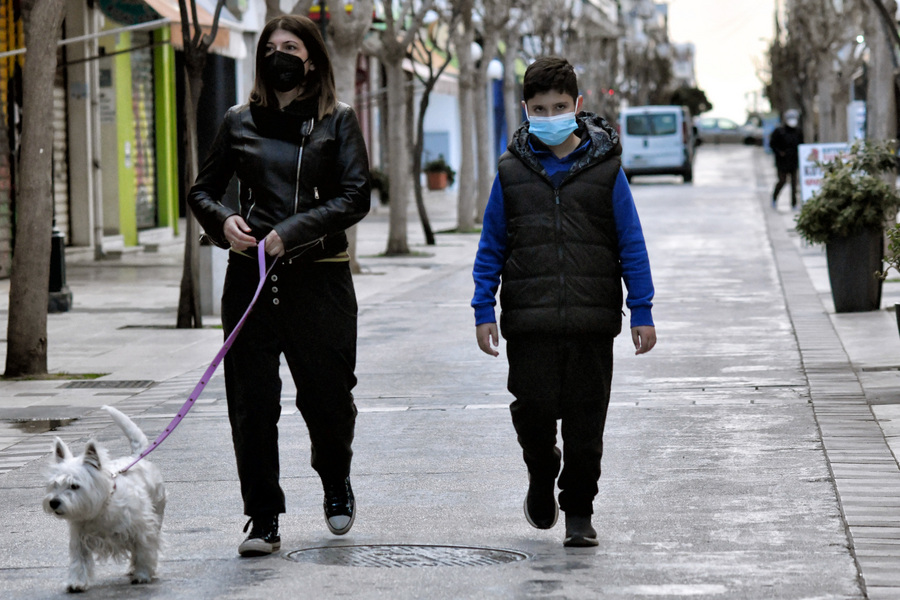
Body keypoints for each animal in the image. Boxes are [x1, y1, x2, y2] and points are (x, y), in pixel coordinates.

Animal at [42, 406, 166, 592]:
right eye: (55, 484)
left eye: (74, 486)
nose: (53, 502)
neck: (100, 510)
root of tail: (135, 456)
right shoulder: (79, 539)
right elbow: (79, 561)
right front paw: (76, 582)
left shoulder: (143, 530)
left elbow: (144, 551)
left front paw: (142, 574)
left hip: (158, 511)